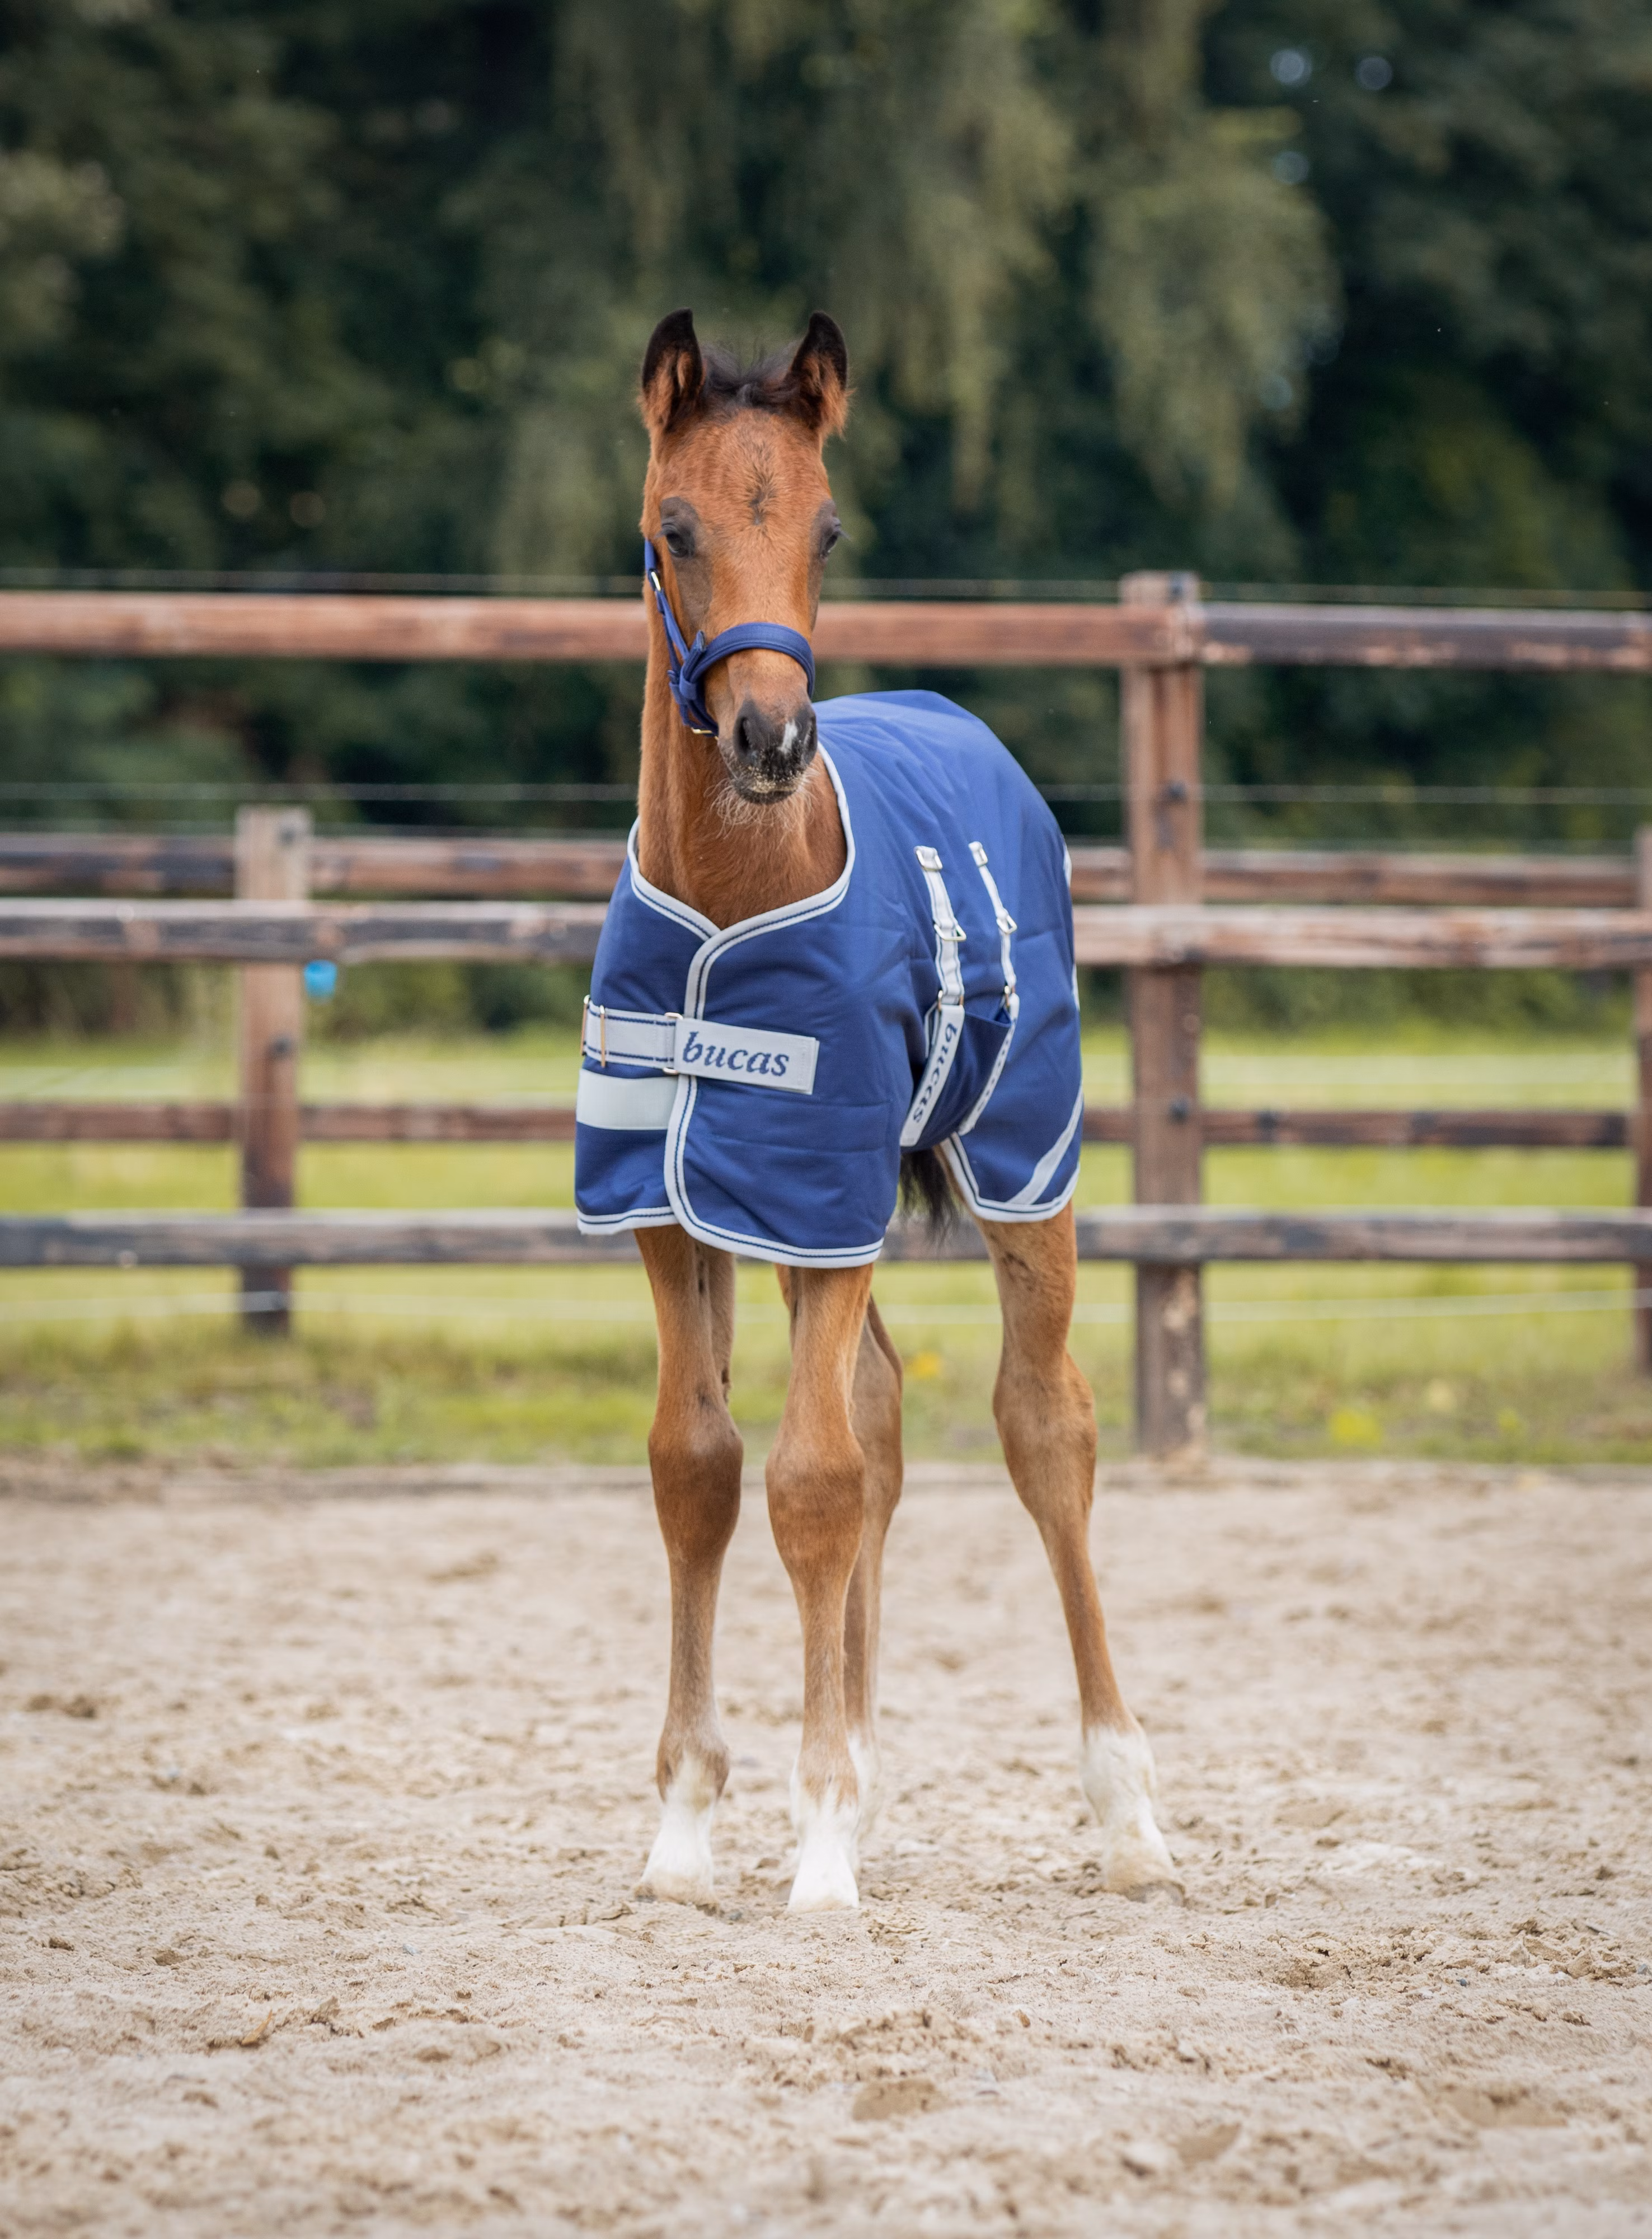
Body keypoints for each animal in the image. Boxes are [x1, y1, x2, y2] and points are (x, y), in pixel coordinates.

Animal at [572, 307, 1180, 1914]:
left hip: (1024, 1165)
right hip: (806, 1224)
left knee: (1044, 1427)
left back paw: (1128, 1813)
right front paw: (691, 1830)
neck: (737, 902)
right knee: (889, 1409)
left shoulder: (823, 1187)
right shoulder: (684, 1206)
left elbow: (815, 1481)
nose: (774, 739)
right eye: (676, 526)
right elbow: (703, 1468)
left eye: (827, 527)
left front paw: (822, 1849)